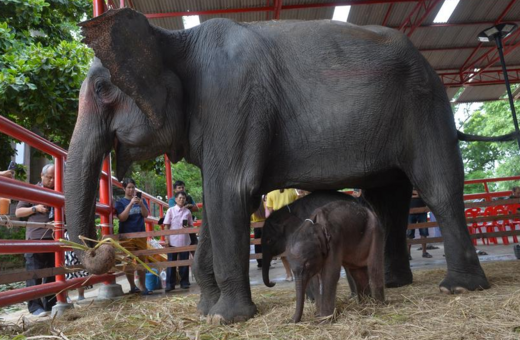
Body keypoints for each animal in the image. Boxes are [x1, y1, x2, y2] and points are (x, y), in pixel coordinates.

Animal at [66, 8, 516, 324]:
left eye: (103, 89)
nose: (103, 245)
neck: (174, 38)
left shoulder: (231, 100)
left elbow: (229, 192)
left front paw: (226, 318)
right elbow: (215, 205)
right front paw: (207, 312)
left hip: (426, 107)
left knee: (437, 188)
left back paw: (458, 289)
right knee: (387, 198)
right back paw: (392, 282)